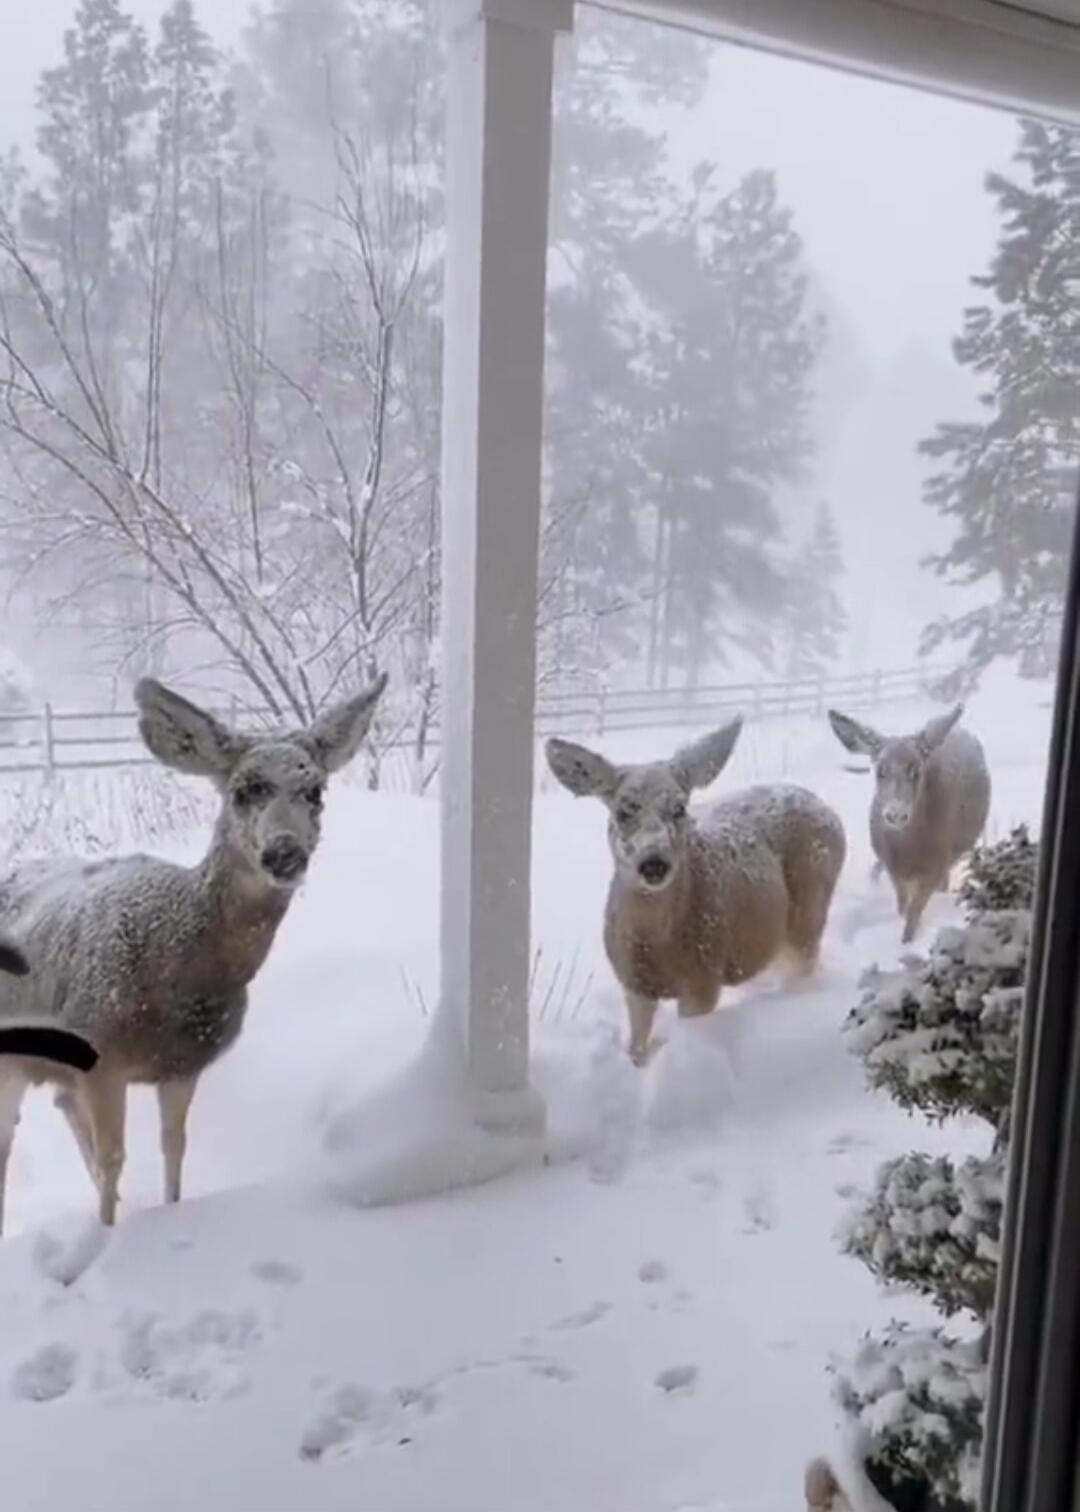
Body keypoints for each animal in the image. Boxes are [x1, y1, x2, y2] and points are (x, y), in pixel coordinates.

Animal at [0, 672, 387, 1234]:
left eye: (315, 789)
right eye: (245, 789)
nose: (284, 853)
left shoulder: (183, 1066)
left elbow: (173, 1150)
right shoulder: (101, 1051)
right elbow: (116, 1157)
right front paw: (108, 1236)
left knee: (60, 1103)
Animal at [545, 718, 846, 1065]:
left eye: (679, 807)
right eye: (623, 811)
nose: (653, 864)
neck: (655, 945)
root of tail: (825, 808)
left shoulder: (703, 980)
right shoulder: (633, 982)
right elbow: (636, 1047)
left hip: (810, 911)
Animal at [827, 702, 991, 944]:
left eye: (916, 771)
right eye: (880, 770)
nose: (895, 814)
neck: (909, 850)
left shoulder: (936, 864)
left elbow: (915, 910)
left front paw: (907, 940)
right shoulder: (892, 866)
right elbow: (903, 905)